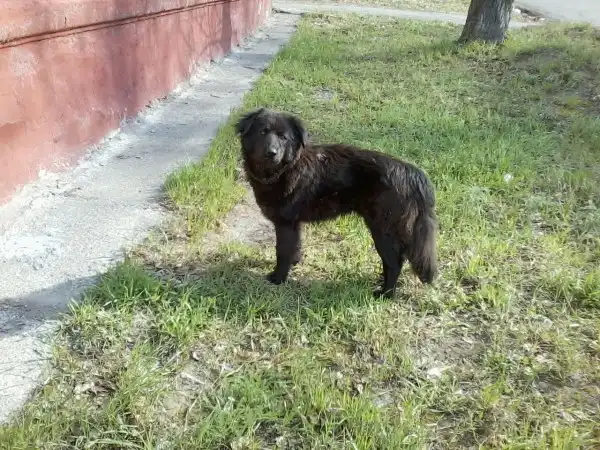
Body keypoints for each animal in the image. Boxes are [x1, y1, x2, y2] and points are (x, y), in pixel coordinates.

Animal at [235, 108, 438, 298]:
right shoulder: (294, 224)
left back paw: (385, 294)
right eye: (263, 132)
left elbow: (282, 252)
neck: (286, 168)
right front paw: (294, 263)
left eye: (283, 137)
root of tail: (414, 174)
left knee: (394, 263)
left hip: (383, 231)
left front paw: (279, 278)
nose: (272, 153)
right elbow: (295, 247)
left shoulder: (285, 224)